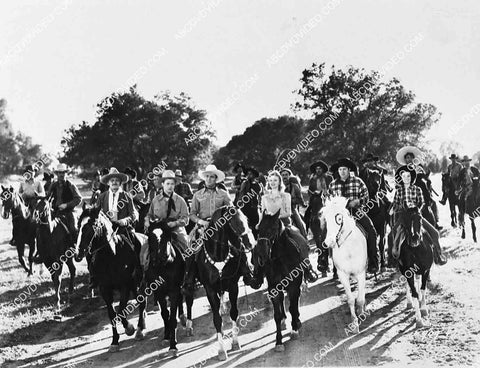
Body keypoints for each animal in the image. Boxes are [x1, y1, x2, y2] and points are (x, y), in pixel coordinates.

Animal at [76, 206, 144, 352]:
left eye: (92, 226)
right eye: (78, 225)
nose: (78, 254)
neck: (111, 255)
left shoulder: (124, 285)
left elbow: (121, 309)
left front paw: (129, 328)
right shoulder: (105, 289)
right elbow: (112, 314)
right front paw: (114, 341)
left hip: (139, 282)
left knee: (142, 301)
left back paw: (140, 329)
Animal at [136, 220, 192, 358]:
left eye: (166, 236)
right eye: (150, 237)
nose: (159, 257)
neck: (163, 267)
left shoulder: (173, 290)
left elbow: (172, 317)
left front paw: (173, 346)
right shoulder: (159, 292)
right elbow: (165, 314)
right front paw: (167, 337)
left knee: (186, 300)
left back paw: (187, 324)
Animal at [195, 206, 255, 360]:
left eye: (246, 219)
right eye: (235, 223)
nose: (251, 243)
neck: (219, 255)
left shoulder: (233, 286)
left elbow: (234, 313)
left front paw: (235, 343)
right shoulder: (209, 290)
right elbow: (217, 319)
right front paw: (221, 351)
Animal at [253, 210, 302, 350]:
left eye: (272, 229)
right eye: (258, 229)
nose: (261, 252)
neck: (281, 259)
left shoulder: (293, 286)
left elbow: (293, 307)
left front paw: (295, 330)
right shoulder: (274, 288)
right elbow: (277, 315)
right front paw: (279, 342)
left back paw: (297, 321)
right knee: (281, 301)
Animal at [322, 198, 368, 334]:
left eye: (339, 218)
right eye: (325, 219)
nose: (329, 242)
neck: (349, 249)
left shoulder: (361, 273)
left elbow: (360, 298)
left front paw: (361, 313)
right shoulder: (343, 275)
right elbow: (351, 299)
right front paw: (354, 323)